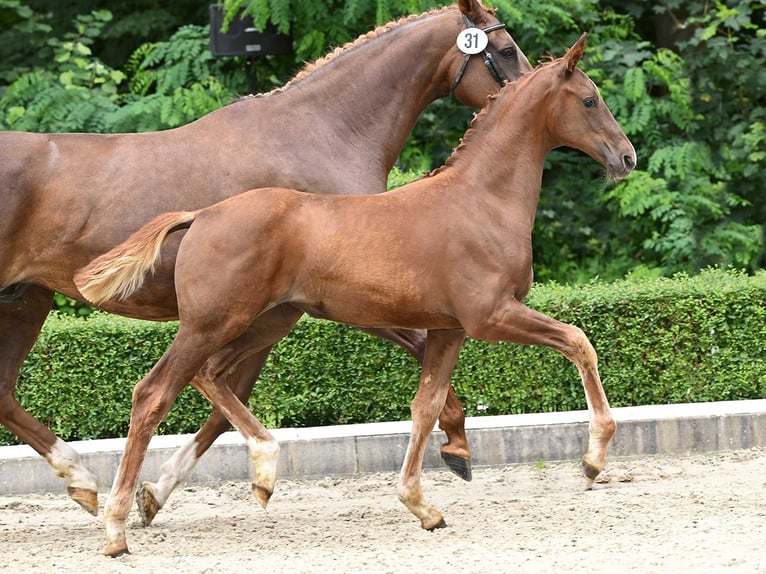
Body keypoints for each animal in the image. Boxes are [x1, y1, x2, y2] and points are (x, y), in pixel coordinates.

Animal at [0, 0, 532, 520]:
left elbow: (223, 403)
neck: (319, 134)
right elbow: (424, 352)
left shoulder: (272, 312)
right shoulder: (354, 301)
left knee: (4, 393)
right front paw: (457, 445)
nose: (529, 89)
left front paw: (161, 489)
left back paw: (82, 480)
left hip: (26, 301)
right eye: (506, 50)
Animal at [78, 32, 636, 560]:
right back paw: (117, 527)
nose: (626, 156)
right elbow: (578, 340)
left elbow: (426, 405)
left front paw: (422, 505)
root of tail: (201, 215)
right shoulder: (491, 315)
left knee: (209, 375)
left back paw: (260, 472)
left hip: (266, 321)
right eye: (590, 99)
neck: (480, 201)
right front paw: (593, 460)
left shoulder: (449, 328)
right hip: (211, 323)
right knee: (154, 394)